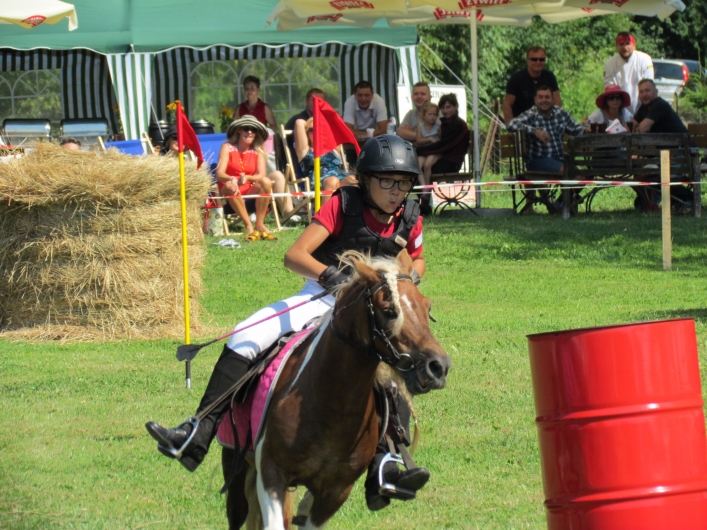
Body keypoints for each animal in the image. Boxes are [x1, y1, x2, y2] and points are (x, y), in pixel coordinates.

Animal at [221, 249, 451, 529]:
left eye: (427, 307)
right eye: (388, 311)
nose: (438, 367)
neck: (332, 404)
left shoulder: (335, 492)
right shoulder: (271, 473)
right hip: (236, 467)